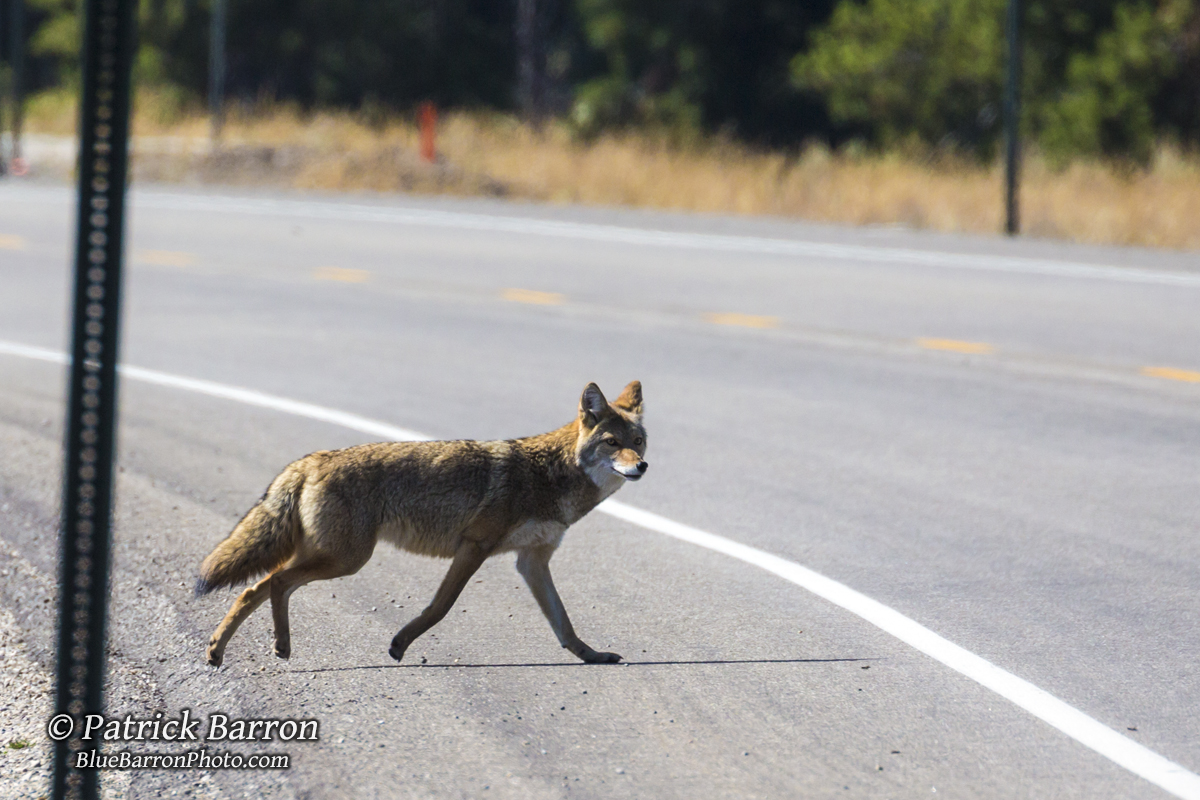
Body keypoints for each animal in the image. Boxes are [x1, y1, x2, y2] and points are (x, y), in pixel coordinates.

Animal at [196, 380, 647, 668]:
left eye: (638, 442)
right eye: (612, 443)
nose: (642, 466)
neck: (552, 475)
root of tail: (312, 459)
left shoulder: (532, 562)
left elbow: (564, 624)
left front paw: (593, 656)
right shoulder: (475, 547)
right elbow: (441, 606)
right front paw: (399, 644)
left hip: (327, 557)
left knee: (254, 588)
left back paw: (219, 652)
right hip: (347, 560)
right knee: (274, 583)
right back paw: (280, 646)